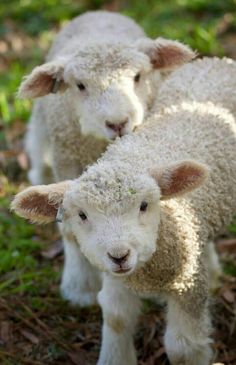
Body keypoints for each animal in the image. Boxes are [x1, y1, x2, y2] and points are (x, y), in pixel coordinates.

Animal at [12, 55, 236, 362]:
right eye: (82, 215)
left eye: (144, 205)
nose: (119, 255)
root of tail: (215, 61)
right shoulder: (117, 278)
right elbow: (117, 317)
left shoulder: (188, 284)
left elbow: (183, 347)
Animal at [18, 9, 195, 304]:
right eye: (79, 85)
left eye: (137, 77)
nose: (117, 123)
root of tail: (98, 11)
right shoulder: (67, 162)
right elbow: (69, 227)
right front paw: (80, 287)